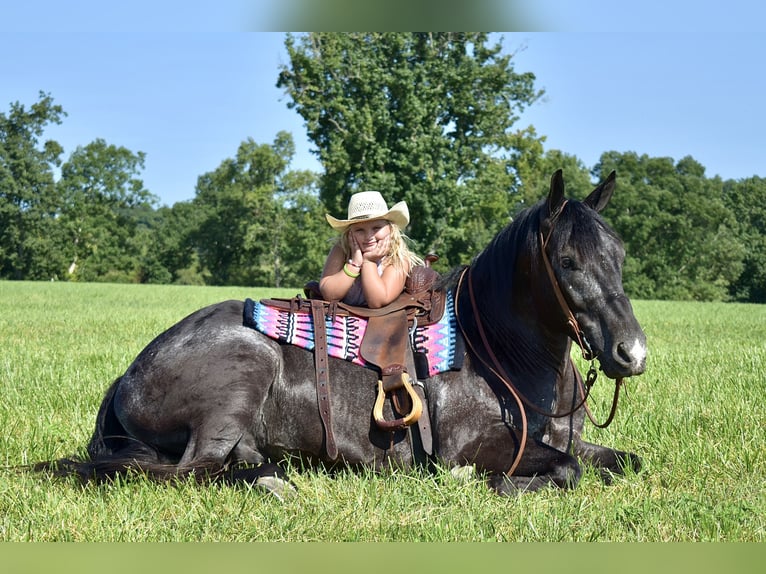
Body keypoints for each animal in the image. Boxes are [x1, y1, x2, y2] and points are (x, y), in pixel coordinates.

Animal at [36, 170, 648, 496]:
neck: (495, 351)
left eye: (619, 253)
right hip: (240, 377)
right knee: (194, 470)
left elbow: (623, 461)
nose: (632, 352)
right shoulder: (476, 444)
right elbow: (564, 470)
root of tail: (127, 376)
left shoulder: (571, 439)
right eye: (567, 261)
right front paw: (498, 484)